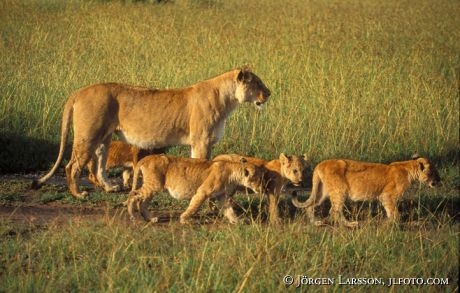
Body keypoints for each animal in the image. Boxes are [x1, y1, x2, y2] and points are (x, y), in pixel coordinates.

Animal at [31, 67, 270, 197]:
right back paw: (78, 194)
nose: (269, 93)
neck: (228, 100)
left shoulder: (206, 142)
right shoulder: (200, 141)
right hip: (88, 134)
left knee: (98, 164)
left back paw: (110, 188)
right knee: (72, 165)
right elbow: (200, 164)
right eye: (257, 82)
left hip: (104, 136)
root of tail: (79, 91)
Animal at [126, 154, 266, 222]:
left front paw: (236, 221)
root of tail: (146, 157)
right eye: (257, 179)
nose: (262, 188)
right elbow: (194, 206)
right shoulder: (203, 191)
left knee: (143, 202)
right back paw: (132, 215)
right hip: (154, 185)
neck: (233, 172)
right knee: (133, 194)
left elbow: (229, 210)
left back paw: (150, 218)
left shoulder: (222, 196)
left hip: (153, 187)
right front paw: (184, 219)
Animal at [292, 155, 440, 226]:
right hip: (340, 190)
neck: (409, 167)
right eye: (433, 172)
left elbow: (391, 212)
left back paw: (316, 223)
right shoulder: (387, 195)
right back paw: (350, 224)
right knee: (334, 210)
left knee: (310, 206)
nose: (439, 180)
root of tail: (320, 164)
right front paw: (395, 224)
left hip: (323, 191)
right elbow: (394, 212)